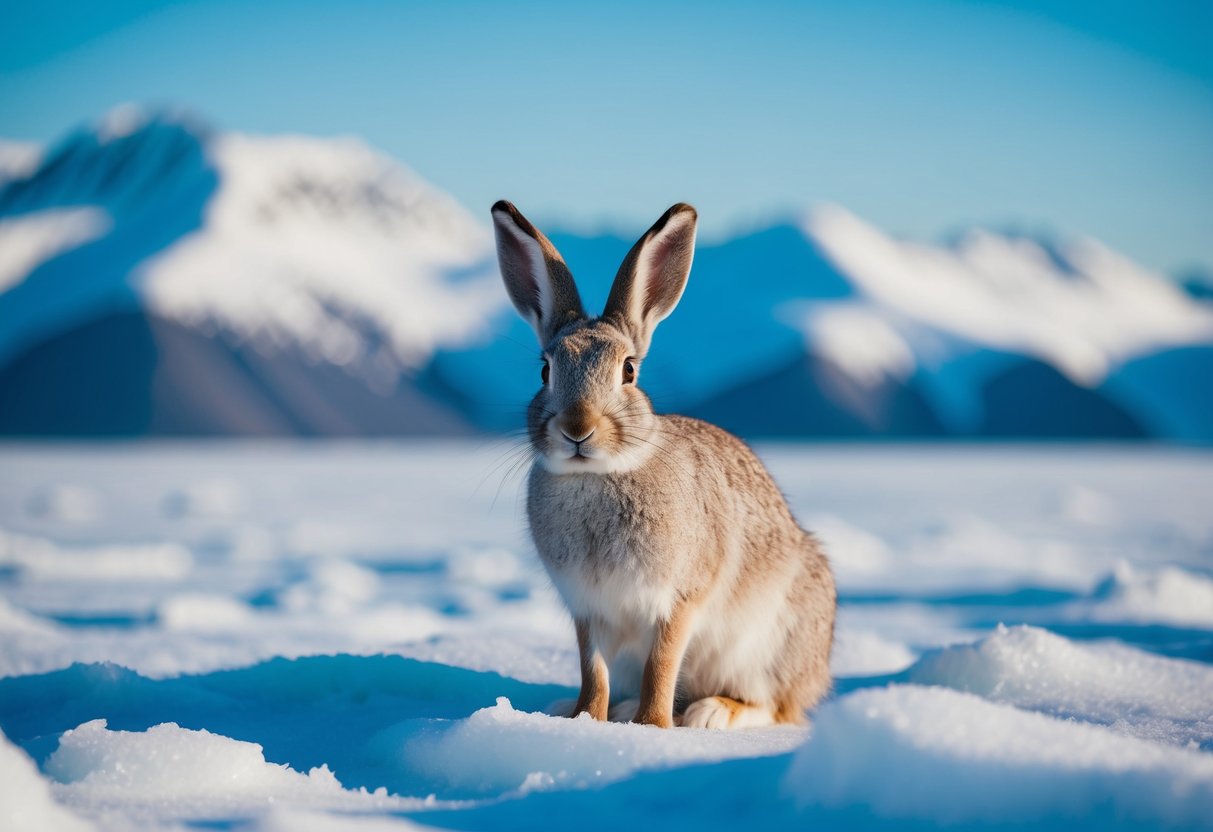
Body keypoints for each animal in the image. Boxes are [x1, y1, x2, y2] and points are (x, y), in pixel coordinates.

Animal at [491, 199, 835, 729]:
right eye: (545, 370)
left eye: (629, 370)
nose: (577, 428)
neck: (597, 476)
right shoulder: (589, 610)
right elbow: (593, 671)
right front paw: (585, 719)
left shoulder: (680, 599)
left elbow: (663, 663)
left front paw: (653, 727)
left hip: (769, 646)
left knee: (776, 707)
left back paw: (710, 713)